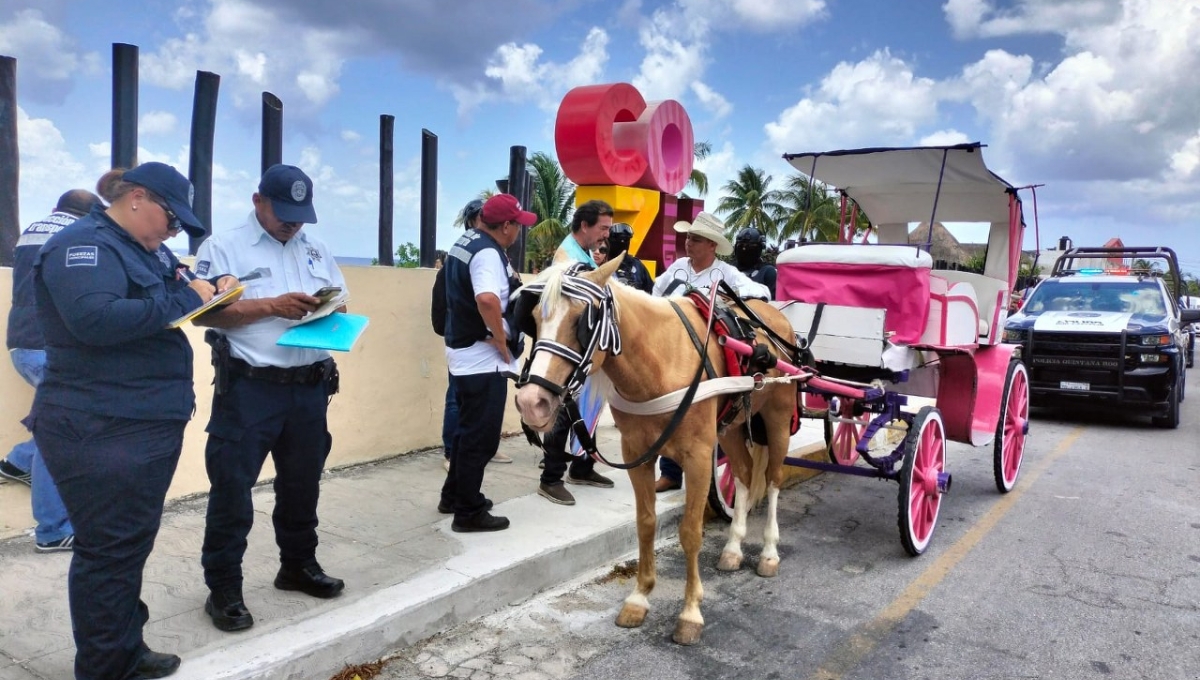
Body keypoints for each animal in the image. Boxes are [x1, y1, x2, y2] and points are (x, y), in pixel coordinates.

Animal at [511, 255, 801, 642]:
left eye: (581, 321)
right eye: (535, 318)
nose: (532, 403)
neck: (660, 363)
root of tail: (775, 320)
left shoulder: (698, 457)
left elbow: (690, 532)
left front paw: (690, 612)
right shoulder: (637, 454)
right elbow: (646, 523)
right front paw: (640, 597)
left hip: (778, 419)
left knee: (771, 480)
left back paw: (769, 553)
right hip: (730, 428)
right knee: (741, 473)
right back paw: (733, 548)